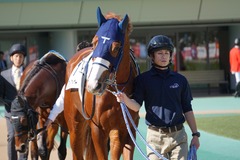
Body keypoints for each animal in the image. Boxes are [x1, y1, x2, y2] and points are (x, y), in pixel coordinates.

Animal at [63, 7, 140, 160]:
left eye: (116, 47)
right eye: (94, 42)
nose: (93, 85)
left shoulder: (124, 129)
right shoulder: (97, 130)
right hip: (75, 125)